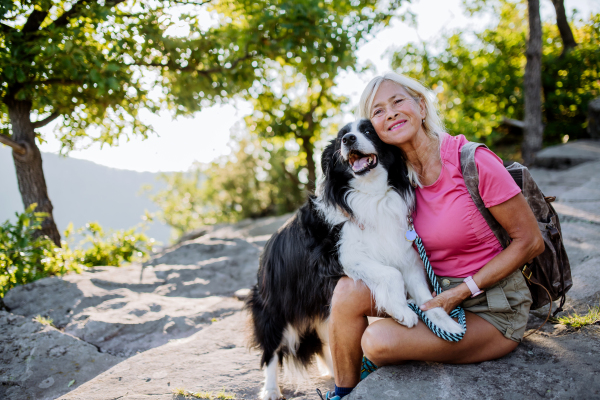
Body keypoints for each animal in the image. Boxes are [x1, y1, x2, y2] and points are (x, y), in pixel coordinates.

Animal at [246, 119, 462, 400]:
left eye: (369, 131)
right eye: (340, 139)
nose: (348, 140)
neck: (371, 193)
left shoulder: (405, 254)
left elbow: (427, 299)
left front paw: (449, 326)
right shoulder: (341, 256)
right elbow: (391, 275)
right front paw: (402, 311)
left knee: (323, 337)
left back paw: (331, 371)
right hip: (277, 304)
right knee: (271, 349)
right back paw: (271, 389)